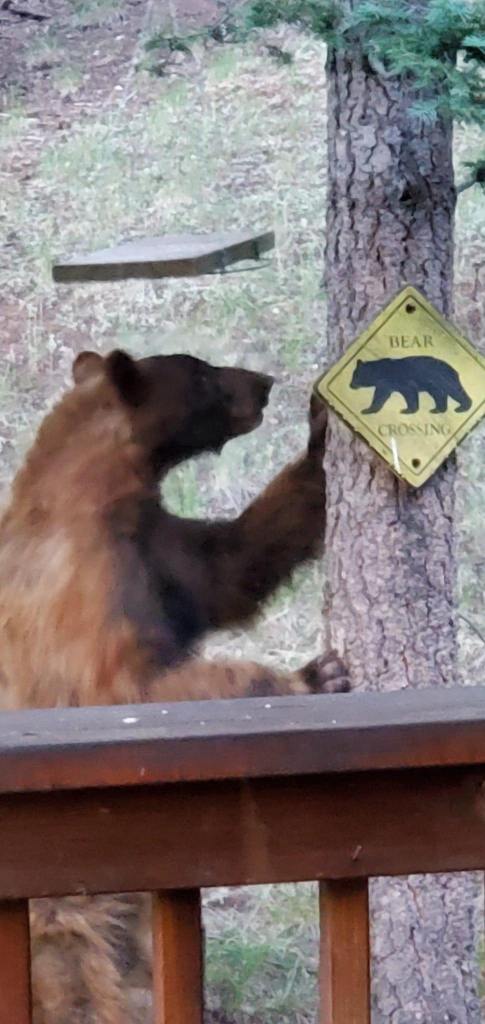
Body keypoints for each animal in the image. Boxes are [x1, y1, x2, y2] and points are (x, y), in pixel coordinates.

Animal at [0, 348, 349, 1024]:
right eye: (204, 372)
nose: (264, 383)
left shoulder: (161, 550)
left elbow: (233, 560)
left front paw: (322, 435)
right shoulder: (89, 592)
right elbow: (137, 691)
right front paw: (313, 676)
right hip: (64, 917)